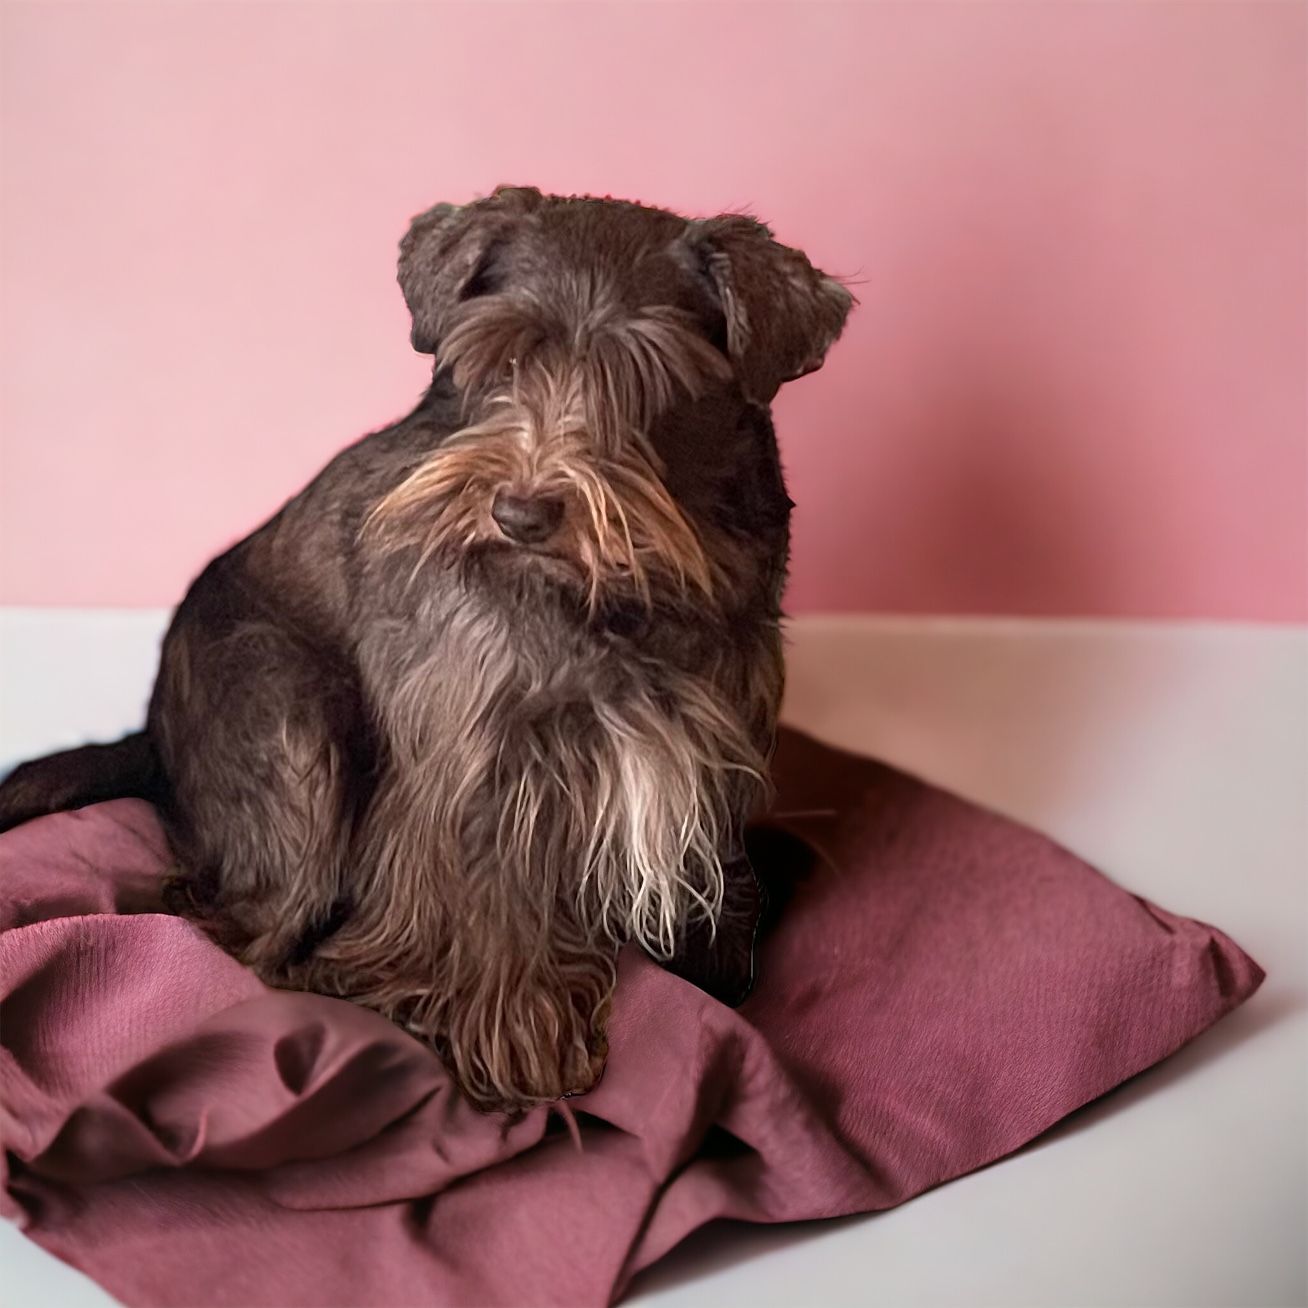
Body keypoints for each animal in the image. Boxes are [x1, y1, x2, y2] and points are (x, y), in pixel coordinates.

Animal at [0, 186, 852, 1109]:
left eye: (645, 380)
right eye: (499, 365)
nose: (520, 513)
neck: (618, 598)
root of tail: (150, 736)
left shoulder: (716, 735)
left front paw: (712, 961)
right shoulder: (479, 754)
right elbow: (491, 888)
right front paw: (521, 1038)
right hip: (290, 725)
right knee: (233, 929)